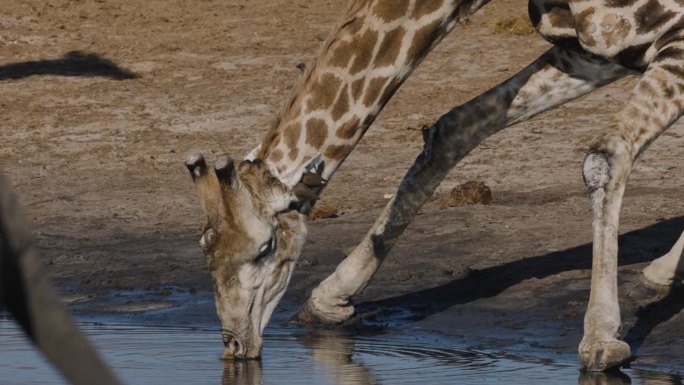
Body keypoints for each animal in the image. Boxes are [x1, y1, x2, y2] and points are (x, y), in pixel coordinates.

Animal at [184, 0, 684, 368]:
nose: (235, 345)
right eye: (205, 251)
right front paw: (331, 298)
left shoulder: (669, 36)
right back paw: (657, 274)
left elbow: (605, 155)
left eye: (265, 249)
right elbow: (453, 126)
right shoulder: (589, 52)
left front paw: (601, 339)